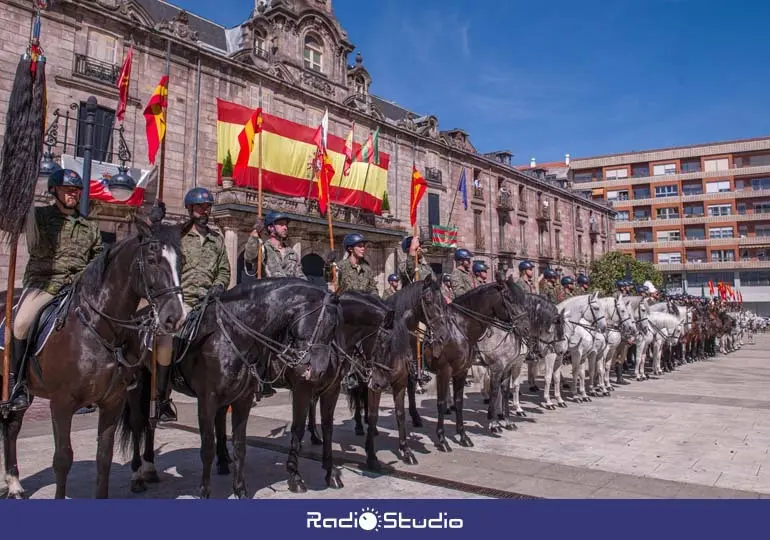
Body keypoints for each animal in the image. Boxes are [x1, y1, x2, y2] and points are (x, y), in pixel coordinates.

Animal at [0, 218, 186, 498]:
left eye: (181, 261)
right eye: (152, 259)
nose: (175, 317)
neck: (98, 329)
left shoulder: (113, 401)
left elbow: (104, 457)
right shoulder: (61, 403)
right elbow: (62, 458)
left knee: (12, 424)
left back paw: (14, 482)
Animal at [117, 278, 340, 498]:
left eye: (334, 328)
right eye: (325, 324)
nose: (320, 370)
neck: (234, 334)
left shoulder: (244, 398)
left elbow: (240, 446)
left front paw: (240, 490)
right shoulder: (207, 400)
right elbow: (207, 446)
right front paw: (205, 492)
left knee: (151, 423)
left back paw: (150, 468)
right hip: (136, 385)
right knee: (137, 424)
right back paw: (137, 476)